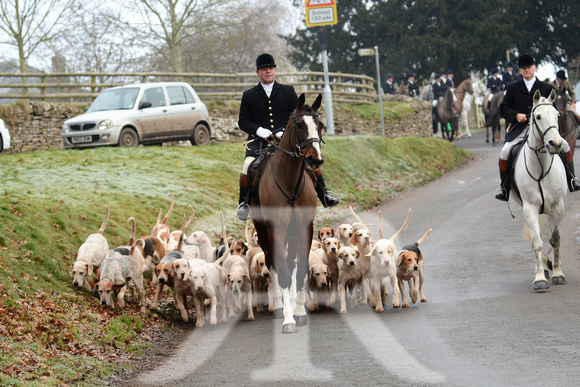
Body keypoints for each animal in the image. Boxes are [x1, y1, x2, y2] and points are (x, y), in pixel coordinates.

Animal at [249, 93, 324, 334]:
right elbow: (280, 272)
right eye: (299, 125)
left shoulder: (305, 228)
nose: (315, 160)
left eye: (320, 125)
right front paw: (288, 318)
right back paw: (280, 306)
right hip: (263, 230)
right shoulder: (276, 230)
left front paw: (299, 312)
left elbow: (300, 272)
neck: (290, 181)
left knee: (291, 264)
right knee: (273, 262)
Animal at [512, 89, 568, 292]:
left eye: (557, 115)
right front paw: (539, 279)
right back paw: (544, 267)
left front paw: (558, 273)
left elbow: (555, 239)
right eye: (537, 116)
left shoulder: (558, 206)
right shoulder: (529, 208)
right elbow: (536, 242)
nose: (555, 144)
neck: (541, 168)